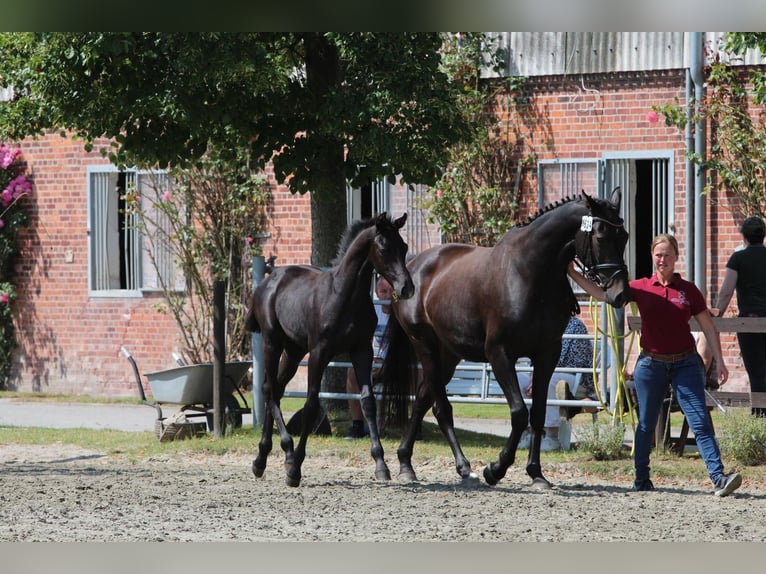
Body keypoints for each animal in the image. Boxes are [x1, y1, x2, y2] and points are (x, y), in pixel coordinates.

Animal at [245, 212, 414, 487]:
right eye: (383, 247)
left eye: (404, 247)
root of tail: (268, 282)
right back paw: (282, 455)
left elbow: (367, 401)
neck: (345, 295)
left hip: (293, 352)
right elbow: (312, 403)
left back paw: (265, 458)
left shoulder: (362, 351)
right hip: (273, 343)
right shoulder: (319, 353)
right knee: (269, 390)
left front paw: (381, 464)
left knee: (276, 389)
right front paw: (296, 470)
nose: (406, 288)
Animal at [378, 189, 630, 489]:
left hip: (448, 355)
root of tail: (413, 267)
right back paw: (462, 468)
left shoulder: (547, 354)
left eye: (625, 236)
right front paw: (495, 469)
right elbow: (520, 412)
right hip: (425, 346)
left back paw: (407, 462)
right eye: (601, 236)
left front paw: (536, 473)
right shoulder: (500, 354)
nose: (620, 294)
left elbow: (538, 413)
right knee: (440, 408)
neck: (529, 273)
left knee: (421, 401)